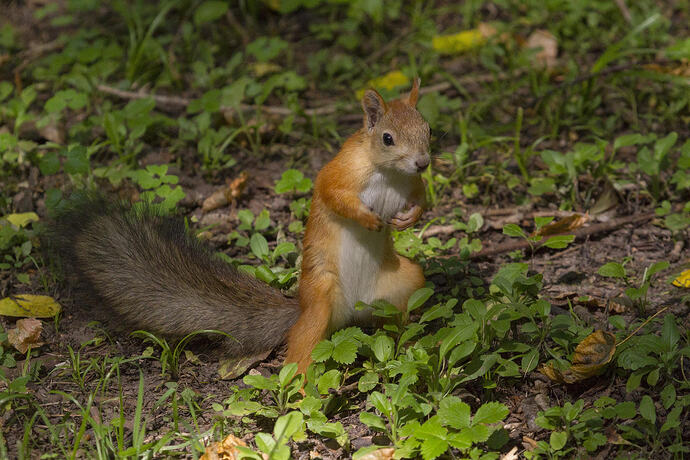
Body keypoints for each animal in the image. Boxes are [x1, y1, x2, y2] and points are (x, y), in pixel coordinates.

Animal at [45, 80, 430, 375]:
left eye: (428, 130)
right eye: (387, 138)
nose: (423, 162)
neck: (389, 173)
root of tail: (351, 312)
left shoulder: (412, 185)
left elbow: (421, 198)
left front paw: (408, 218)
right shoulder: (342, 171)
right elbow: (331, 194)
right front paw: (368, 218)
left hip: (405, 282)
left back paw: (408, 342)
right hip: (321, 299)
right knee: (302, 346)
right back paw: (301, 389)